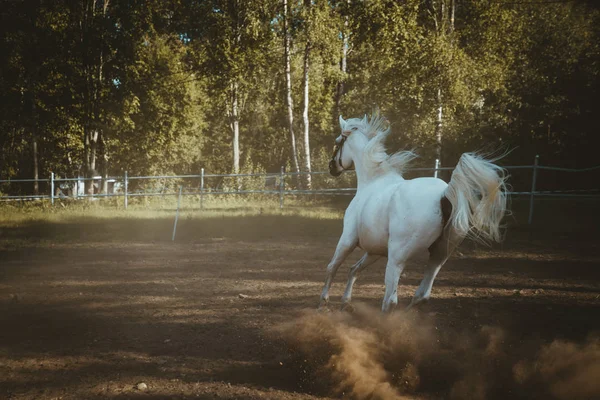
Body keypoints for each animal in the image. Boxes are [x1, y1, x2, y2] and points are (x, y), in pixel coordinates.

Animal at [318, 112, 506, 312]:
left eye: (338, 142)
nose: (332, 167)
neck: (372, 181)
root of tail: (444, 195)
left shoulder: (348, 239)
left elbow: (332, 267)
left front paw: (323, 302)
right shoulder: (376, 250)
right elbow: (354, 269)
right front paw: (345, 303)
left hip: (397, 257)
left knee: (390, 300)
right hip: (439, 255)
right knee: (421, 295)